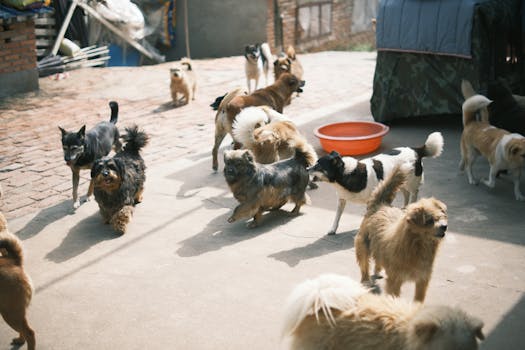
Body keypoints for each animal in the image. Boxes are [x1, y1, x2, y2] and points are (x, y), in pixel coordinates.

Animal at [0, 212, 35, 348]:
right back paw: (20, 340)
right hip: (15, 311)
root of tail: (13, 261)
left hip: (9, 312)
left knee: (29, 333)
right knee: (24, 330)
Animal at [308, 131, 442, 235]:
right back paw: (404, 209)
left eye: (318, 166)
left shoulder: (371, 201)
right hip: (399, 181)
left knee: (413, 194)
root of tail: (416, 150)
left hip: (412, 183)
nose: (307, 168)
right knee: (406, 194)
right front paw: (333, 229)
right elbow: (337, 216)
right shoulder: (342, 200)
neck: (347, 173)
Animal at [352, 165, 446, 302]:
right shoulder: (395, 281)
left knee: (378, 258)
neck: (418, 245)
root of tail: (380, 205)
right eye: (429, 220)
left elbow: (419, 300)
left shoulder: (422, 280)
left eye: (441, 217)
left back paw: (378, 271)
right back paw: (365, 280)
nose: (444, 227)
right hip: (363, 245)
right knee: (364, 264)